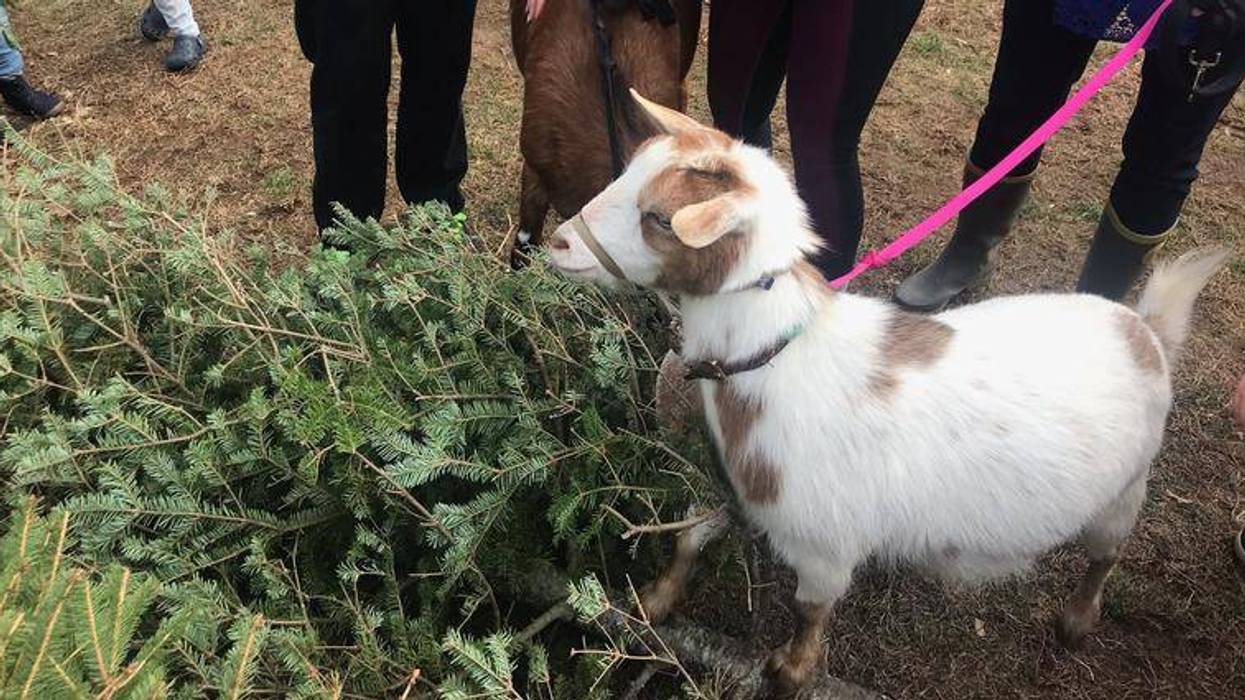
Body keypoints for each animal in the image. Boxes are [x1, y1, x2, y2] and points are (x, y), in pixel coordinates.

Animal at [546, 91, 1230, 694]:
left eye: (660, 219)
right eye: (628, 172)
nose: (559, 242)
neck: (781, 359)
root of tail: (1146, 331)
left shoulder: (824, 542)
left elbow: (810, 610)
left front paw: (789, 672)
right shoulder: (738, 488)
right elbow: (689, 534)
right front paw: (653, 601)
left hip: (1124, 491)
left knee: (1105, 556)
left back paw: (1075, 621)